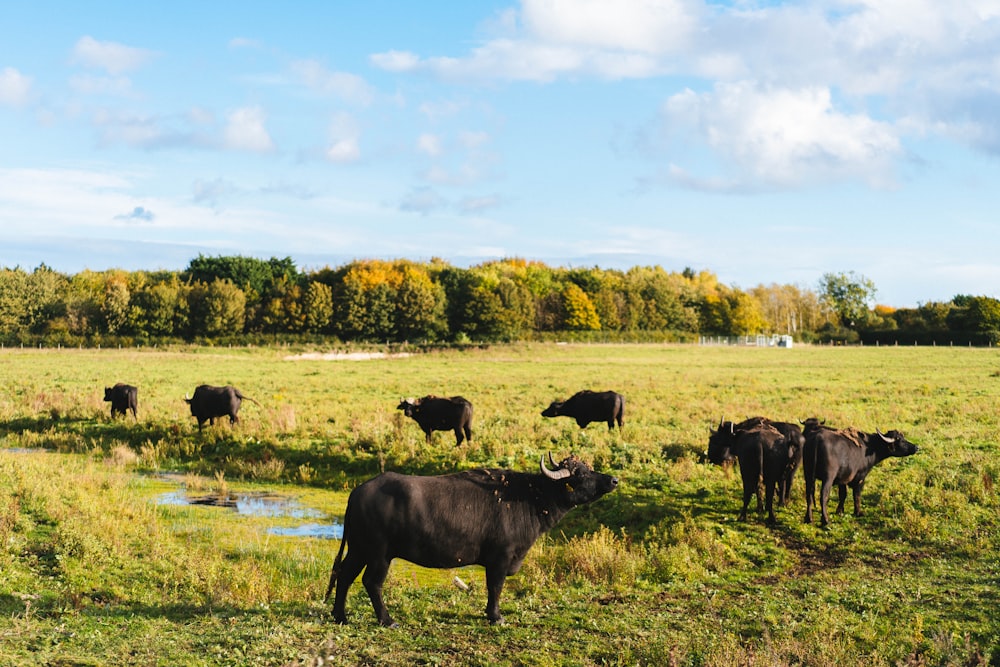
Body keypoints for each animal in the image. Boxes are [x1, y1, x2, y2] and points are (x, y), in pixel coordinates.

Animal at [324, 454, 616, 628]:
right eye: (580, 474)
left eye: (590, 468)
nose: (613, 479)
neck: (529, 498)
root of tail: (358, 492)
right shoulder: (500, 558)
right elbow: (495, 588)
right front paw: (495, 616)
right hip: (379, 554)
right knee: (371, 582)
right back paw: (387, 620)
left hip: (359, 549)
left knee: (344, 575)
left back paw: (341, 616)